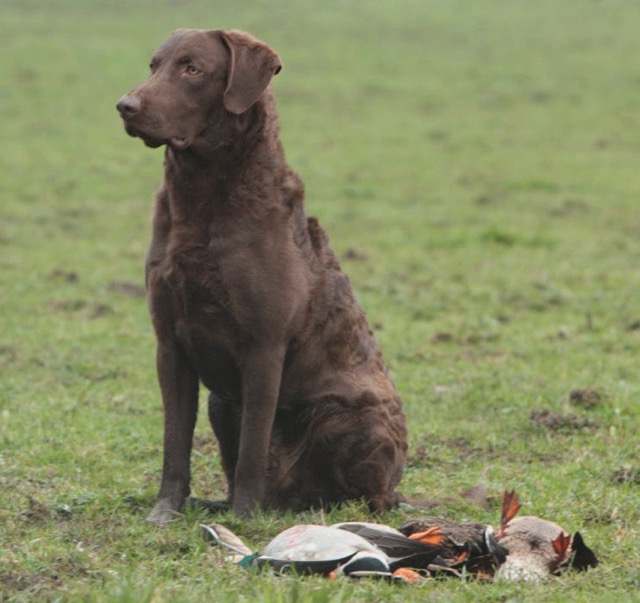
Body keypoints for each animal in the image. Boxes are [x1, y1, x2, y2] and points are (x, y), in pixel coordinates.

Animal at [116, 28, 404, 520]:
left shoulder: (264, 345)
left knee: (372, 496)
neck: (201, 196)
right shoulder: (169, 342)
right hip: (221, 402)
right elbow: (175, 440)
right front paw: (167, 511)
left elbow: (253, 443)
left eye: (192, 69)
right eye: (154, 65)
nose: (125, 105)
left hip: (350, 418)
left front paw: (245, 516)